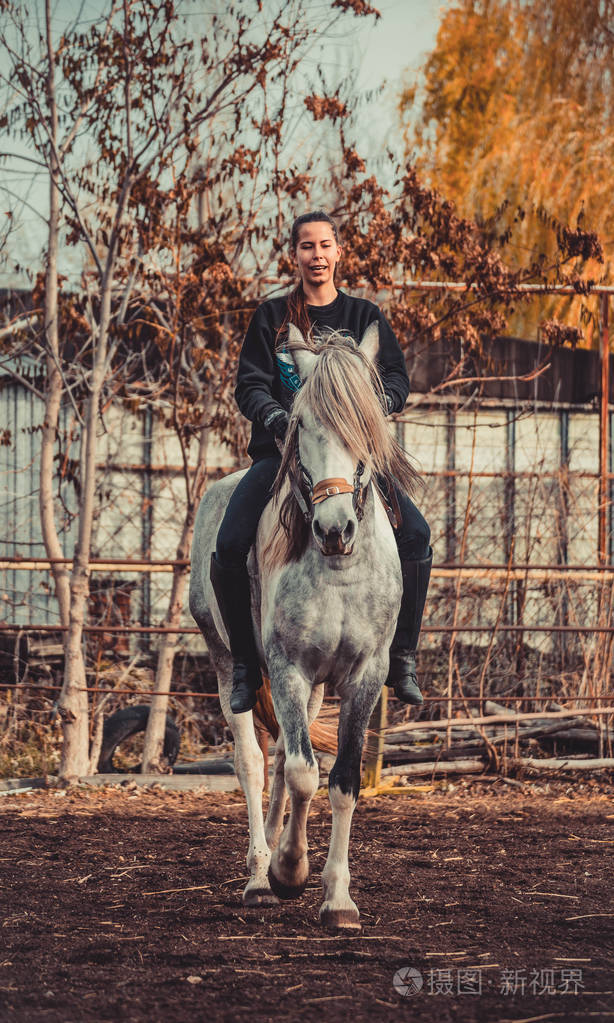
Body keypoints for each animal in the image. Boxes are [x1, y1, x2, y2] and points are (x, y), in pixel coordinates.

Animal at [189, 323, 417, 930]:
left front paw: (337, 899)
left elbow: (340, 781)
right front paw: (288, 871)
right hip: (228, 664)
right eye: (300, 427)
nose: (334, 529)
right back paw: (258, 875)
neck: (338, 569)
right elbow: (301, 773)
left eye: (366, 429)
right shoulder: (288, 669)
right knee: (253, 762)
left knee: (282, 766)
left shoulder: (362, 676)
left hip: (316, 689)